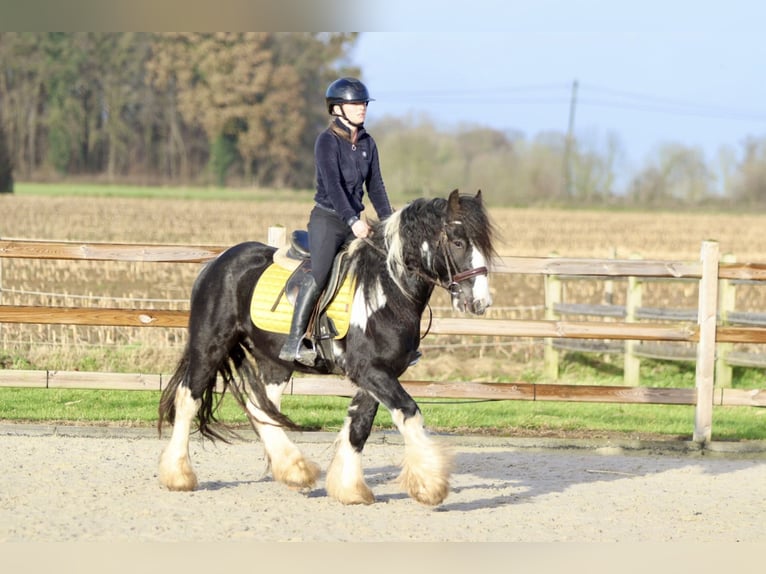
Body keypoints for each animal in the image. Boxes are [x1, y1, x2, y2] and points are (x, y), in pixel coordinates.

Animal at [159, 187, 500, 506]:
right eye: (458, 242)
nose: (480, 303)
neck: (388, 289)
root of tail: (216, 262)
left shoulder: (380, 373)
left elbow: (359, 426)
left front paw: (350, 489)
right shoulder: (370, 371)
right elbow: (409, 413)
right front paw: (431, 486)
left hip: (275, 362)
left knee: (261, 410)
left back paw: (295, 471)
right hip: (209, 345)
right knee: (188, 398)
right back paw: (179, 475)